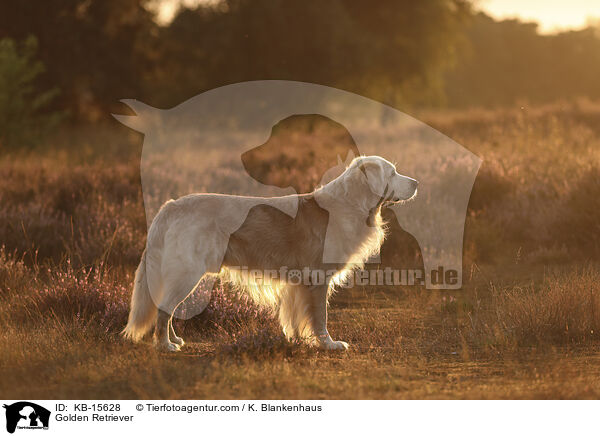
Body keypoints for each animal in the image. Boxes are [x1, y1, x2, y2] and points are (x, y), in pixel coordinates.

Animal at [123, 157, 418, 350]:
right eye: (393, 172)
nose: (416, 182)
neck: (350, 203)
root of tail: (172, 205)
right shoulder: (318, 278)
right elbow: (320, 317)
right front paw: (329, 344)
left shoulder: (299, 283)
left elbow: (296, 316)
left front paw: (298, 340)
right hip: (188, 272)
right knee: (164, 309)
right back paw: (165, 345)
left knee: (166, 308)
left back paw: (174, 340)